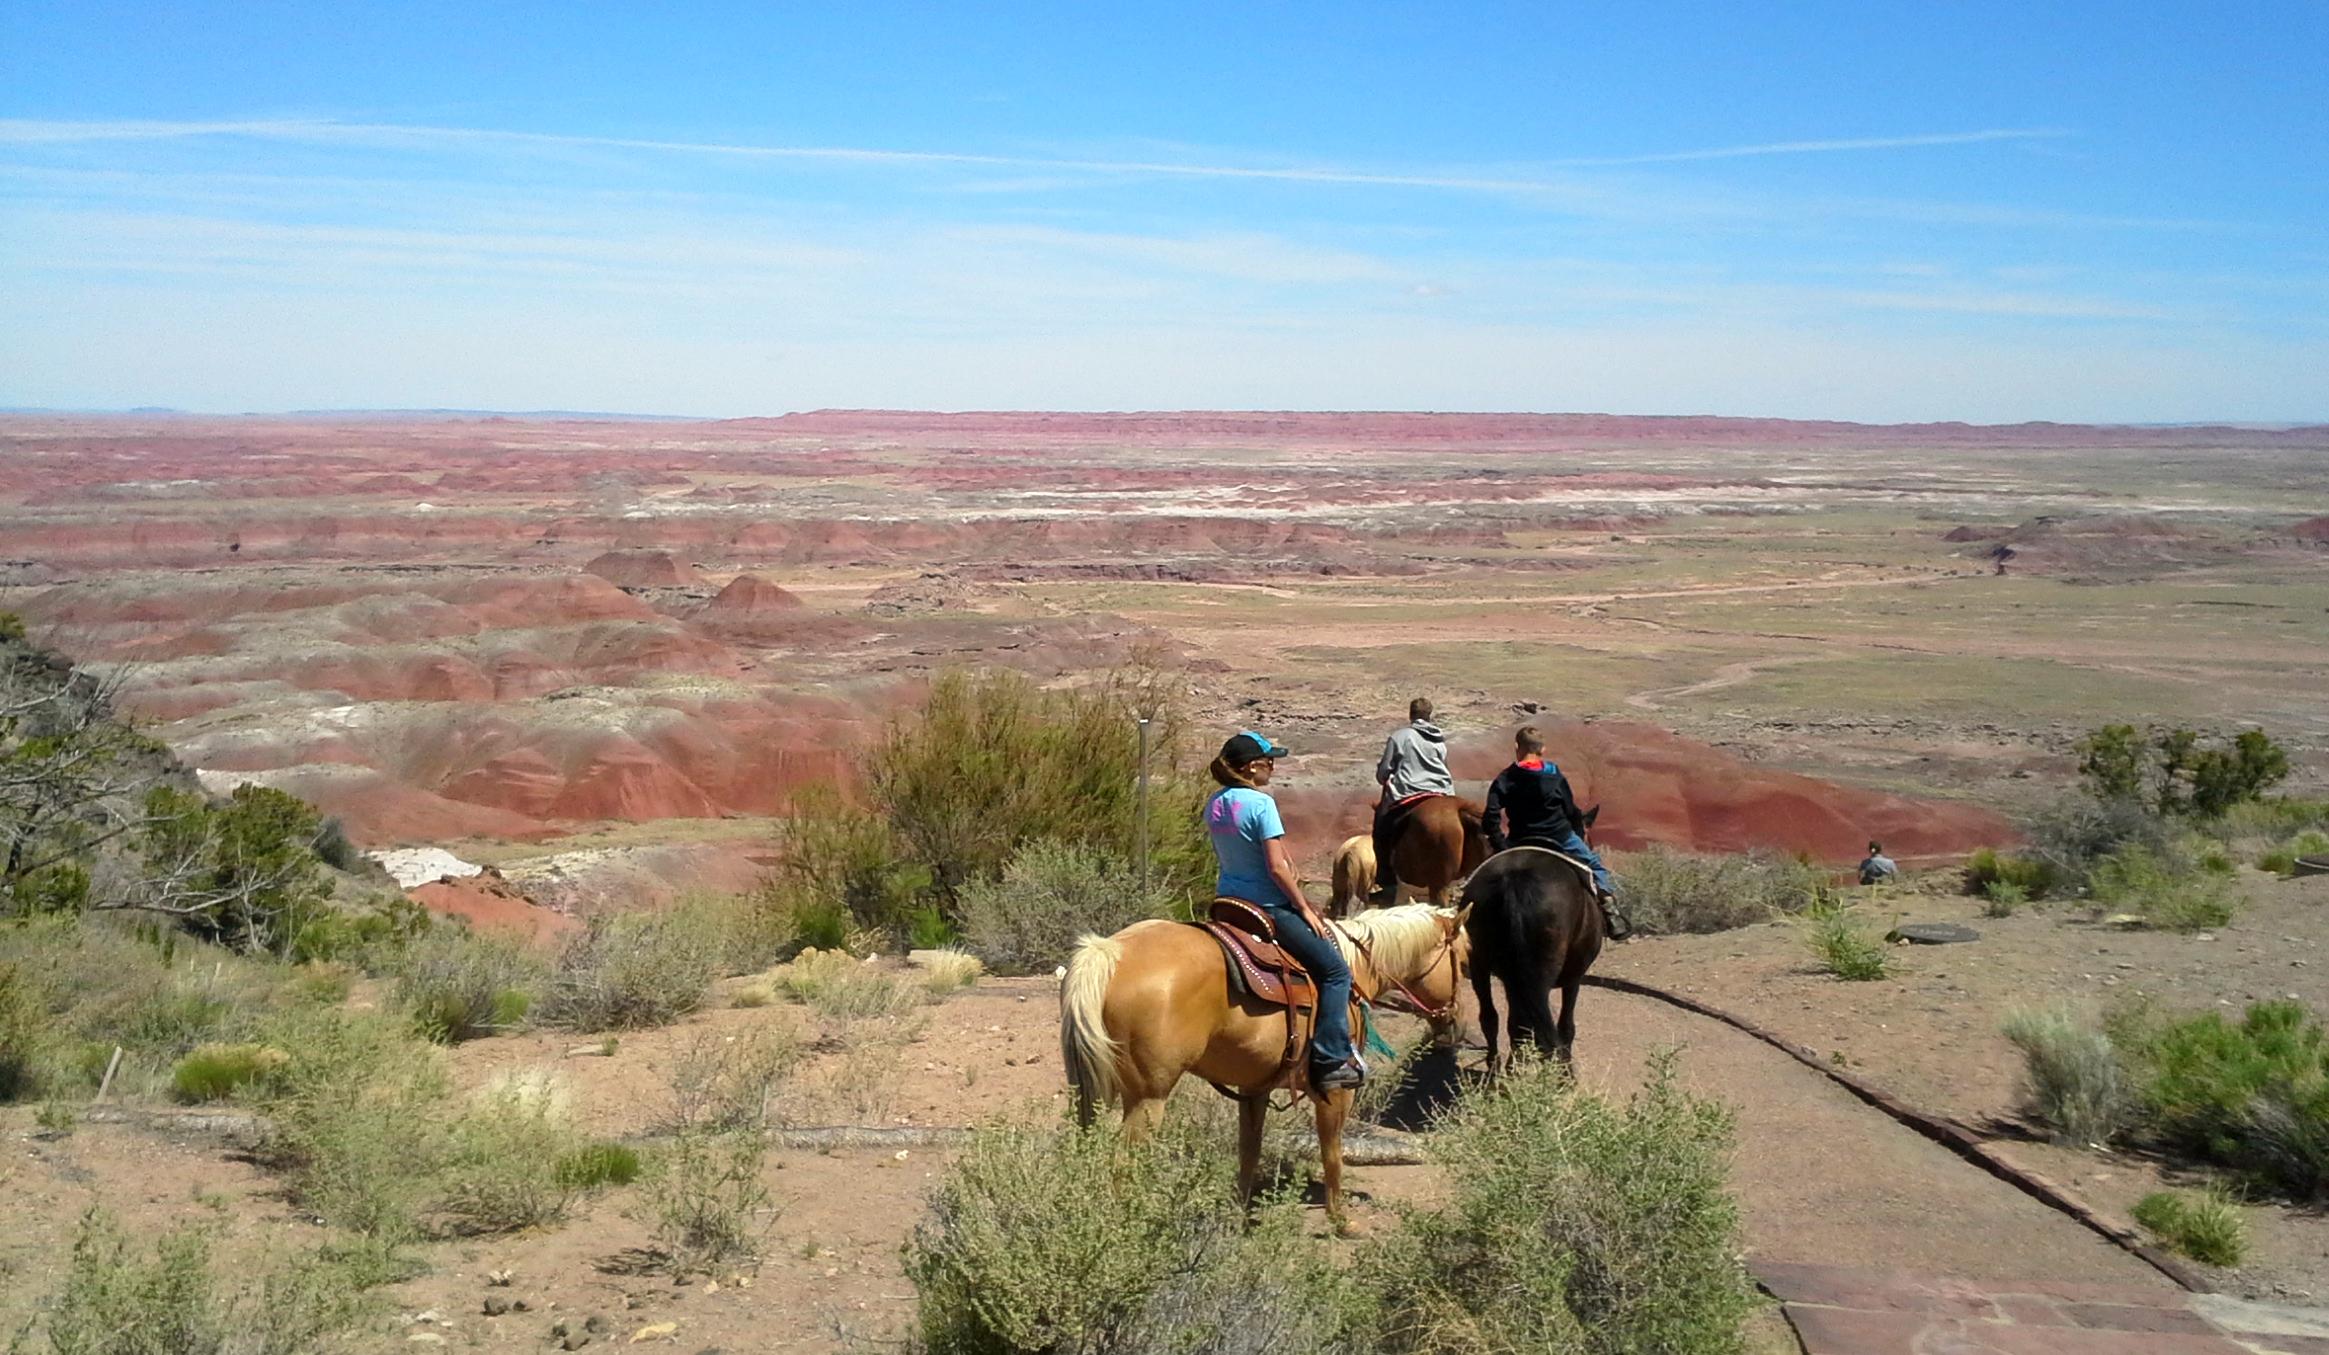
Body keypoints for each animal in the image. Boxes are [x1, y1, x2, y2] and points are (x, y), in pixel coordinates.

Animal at [1062, 907, 1462, 1229]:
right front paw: (1340, 1220)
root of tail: (1109, 951)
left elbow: (1249, 1151)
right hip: (1149, 1099)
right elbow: (1331, 1152)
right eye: (1462, 959)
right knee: (1122, 1162)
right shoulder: (1336, 1090)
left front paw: (1238, 1213)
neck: (1354, 968)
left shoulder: (1255, 1088)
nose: (1454, 1023)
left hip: (1094, 1094)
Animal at [1462, 805, 1611, 1070]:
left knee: (1492, 1017)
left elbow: (1517, 1024)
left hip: (1481, 963)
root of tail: (1514, 879)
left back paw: (1497, 1069)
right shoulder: (1575, 975)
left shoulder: (1511, 979)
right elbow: (1565, 1026)